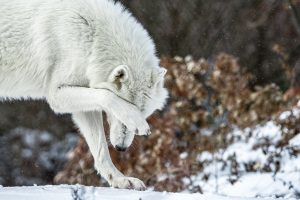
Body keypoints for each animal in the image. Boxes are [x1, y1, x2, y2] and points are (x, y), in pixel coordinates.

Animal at [0, 0, 168, 190]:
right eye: (129, 113)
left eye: (145, 113)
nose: (121, 148)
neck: (92, 38)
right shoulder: (56, 94)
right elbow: (108, 96)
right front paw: (137, 122)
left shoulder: (84, 103)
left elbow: (101, 151)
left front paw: (120, 180)